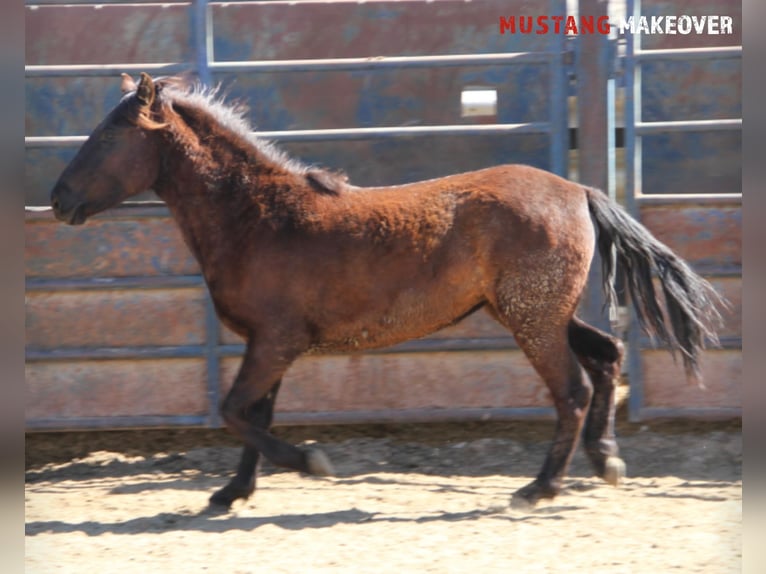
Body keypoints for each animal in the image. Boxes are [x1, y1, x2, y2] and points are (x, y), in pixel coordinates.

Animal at [51, 73, 724, 512]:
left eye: (108, 137)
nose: (58, 200)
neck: (256, 216)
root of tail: (579, 190)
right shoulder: (269, 345)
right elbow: (252, 414)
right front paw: (230, 492)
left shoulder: (275, 342)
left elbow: (235, 410)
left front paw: (311, 464)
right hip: (538, 313)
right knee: (608, 358)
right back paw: (606, 461)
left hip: (532, 320)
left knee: (574, 389)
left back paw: (539, 489)